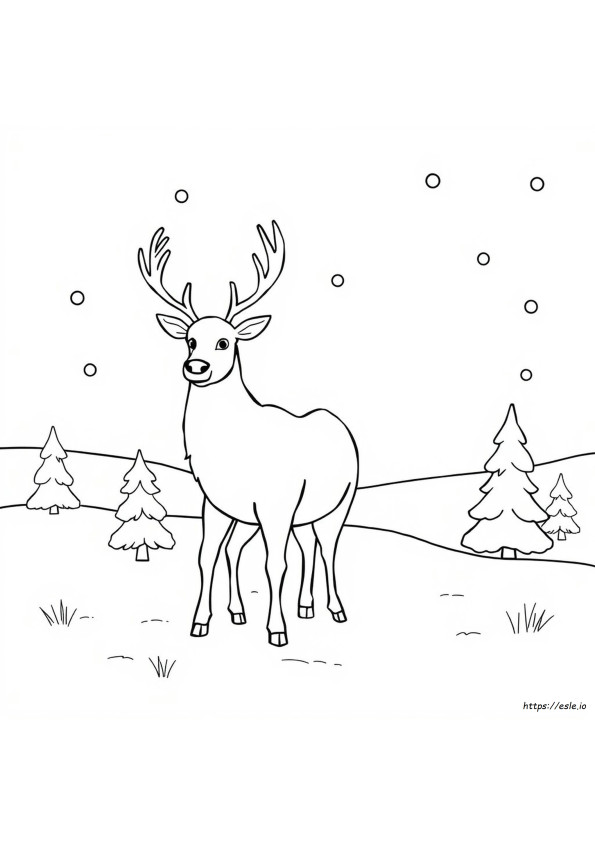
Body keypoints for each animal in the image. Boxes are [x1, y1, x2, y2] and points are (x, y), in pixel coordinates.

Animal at [138, 221, 359, 646]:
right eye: (190, 339)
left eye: (225, 341)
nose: (196, 366)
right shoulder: (216, 504)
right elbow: (207, 555)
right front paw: (200, 623)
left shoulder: (277, 503)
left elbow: (276, 564)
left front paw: (277, 630)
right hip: (280, 516)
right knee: (292, 547)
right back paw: (285, 608)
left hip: (340, 502)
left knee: (327, 549)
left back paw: (336, 610)